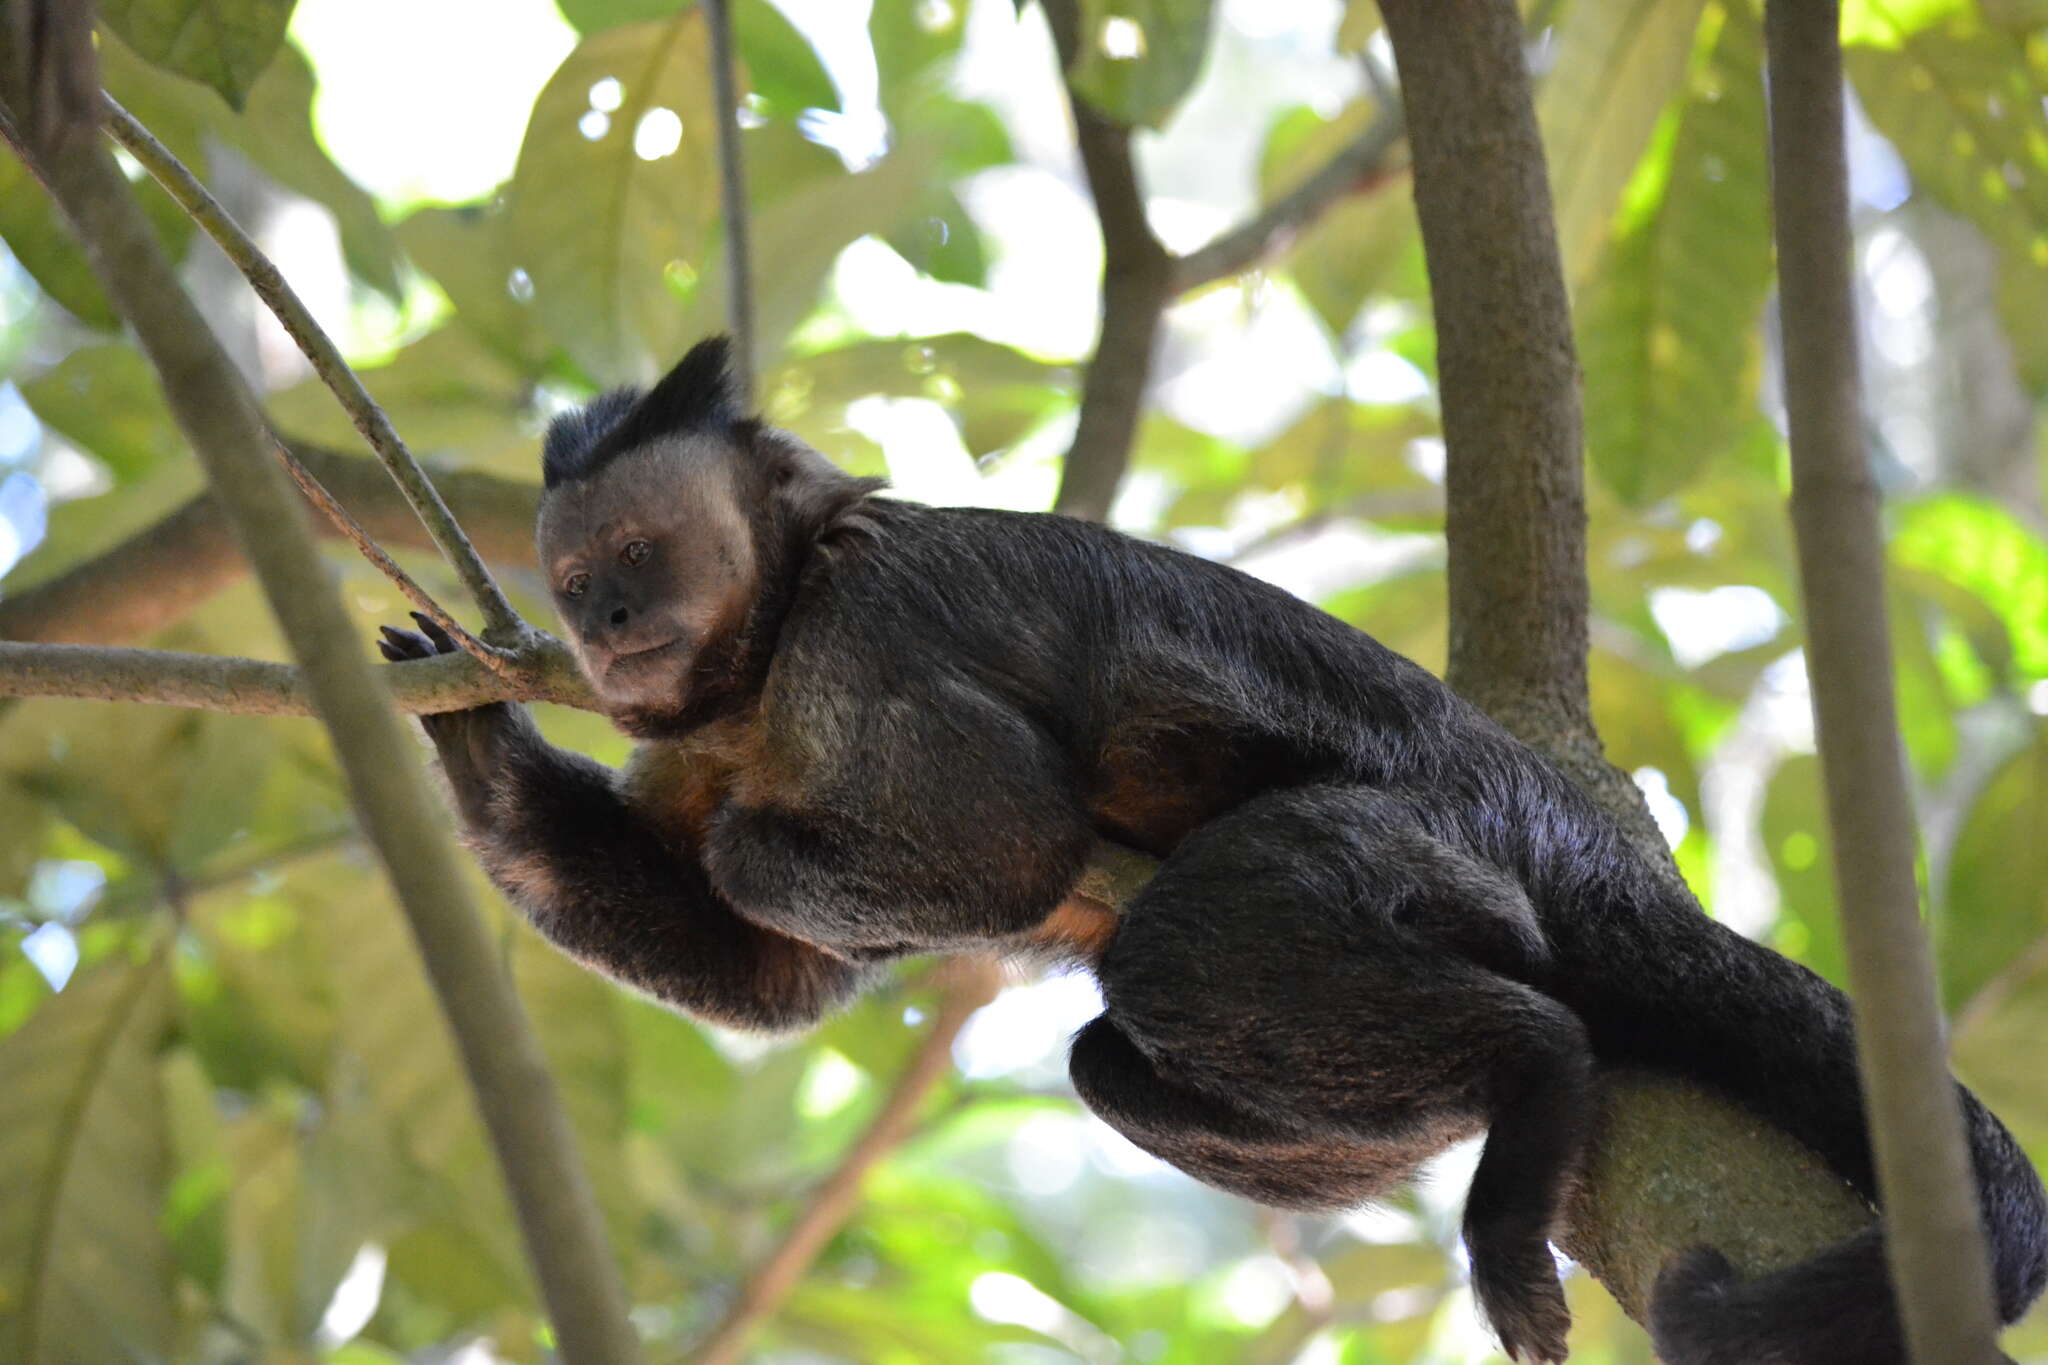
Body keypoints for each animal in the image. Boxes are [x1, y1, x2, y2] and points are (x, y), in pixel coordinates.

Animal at [385, 333, 2048, 1365]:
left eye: (637, 558)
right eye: (575, 581)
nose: (606, 625)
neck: (765, 645)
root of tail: (1578, 830)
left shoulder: (872, 630)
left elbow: (1003, 844)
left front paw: (759, 846)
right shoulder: (688, 729)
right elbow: (767, 977)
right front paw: (472, 745)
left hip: (1442, 833)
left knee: (1192, 945)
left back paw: (1534, 1070)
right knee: (1120, 1058)